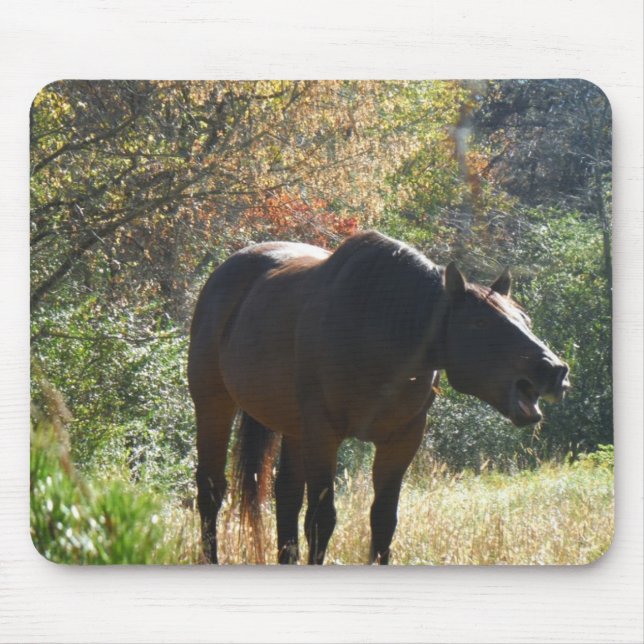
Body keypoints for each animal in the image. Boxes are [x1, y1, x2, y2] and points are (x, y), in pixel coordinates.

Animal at [188, 230, 570, 564]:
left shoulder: (401, 440)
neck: (377, 328)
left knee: (286, 496)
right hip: (214, 405)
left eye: (525, 319)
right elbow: (321, 519)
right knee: (211, 491)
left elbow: (384, 521)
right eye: (480, 324)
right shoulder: (323, 435)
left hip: (294, 429)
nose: (555, 371)